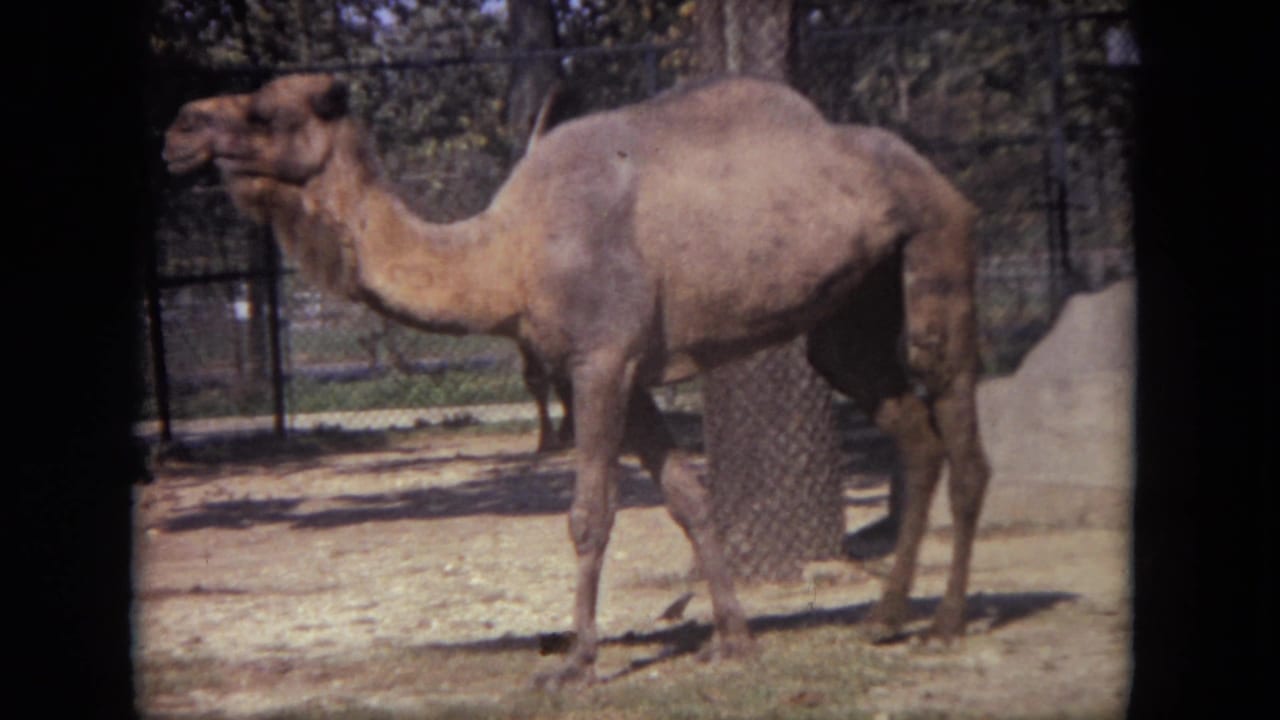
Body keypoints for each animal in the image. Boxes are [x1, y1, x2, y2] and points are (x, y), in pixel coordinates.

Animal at [163, 73, 989, 689]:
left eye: (266, 111)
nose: (177, 129)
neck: (507, 255)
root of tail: (944, 180)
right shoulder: (618, 371)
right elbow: (688, 498)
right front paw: (733, 638)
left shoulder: (601, 360)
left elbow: (591, 512)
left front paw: (576, 663)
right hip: (852, 307)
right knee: (906, 424)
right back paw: (884, 617)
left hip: (937, 241)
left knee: (958, 427)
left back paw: (945, 624)